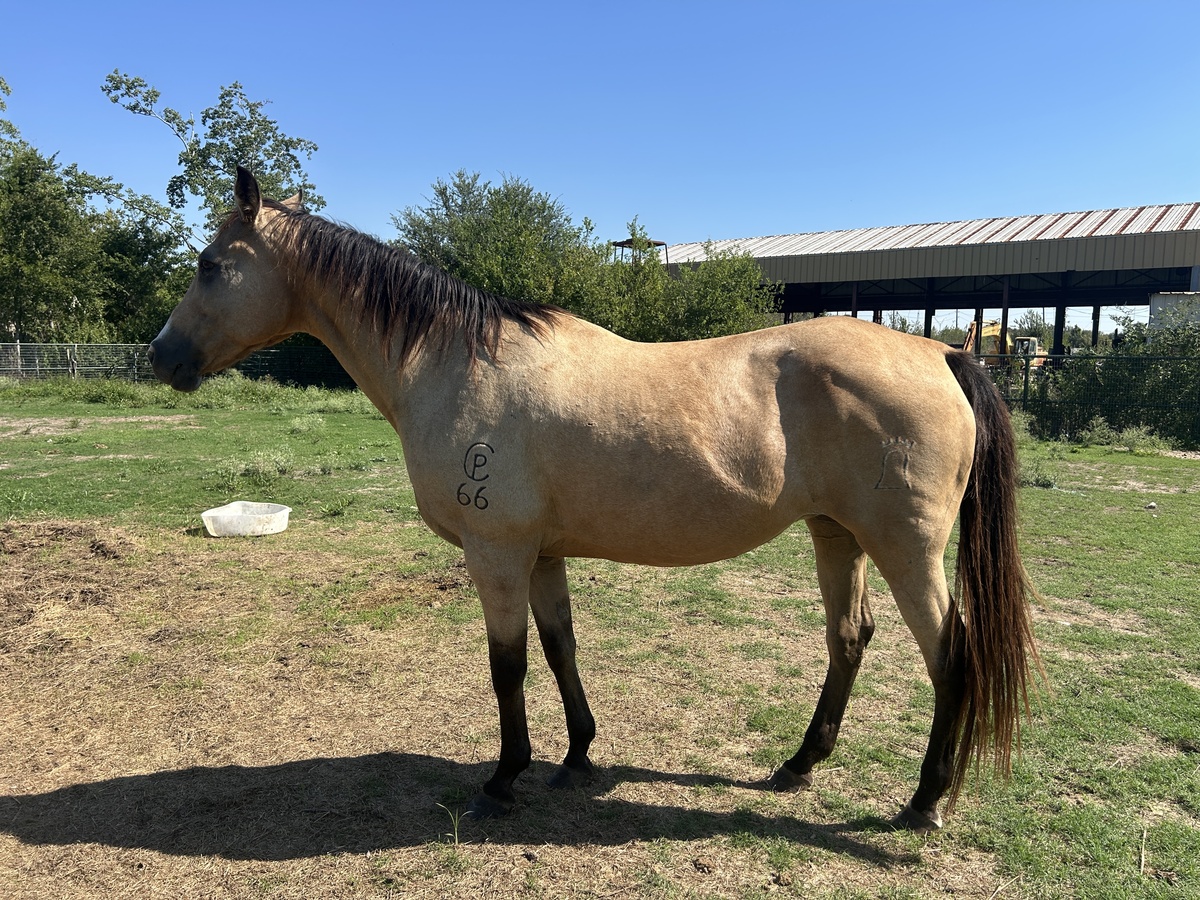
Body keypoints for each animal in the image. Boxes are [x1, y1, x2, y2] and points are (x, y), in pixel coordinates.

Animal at [148, 167, 1040, 832]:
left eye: (209, 265)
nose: (161, 357)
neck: (455, 364)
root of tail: (943, 353)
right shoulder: (542, 555)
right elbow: (559, 649)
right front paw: (577, 754)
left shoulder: (498, 552)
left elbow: (507, 666)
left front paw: (504, 777)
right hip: (836, 534)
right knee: (849, 639)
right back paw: (797, 766)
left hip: (904, 546)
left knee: (951, 656)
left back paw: (924, 801)